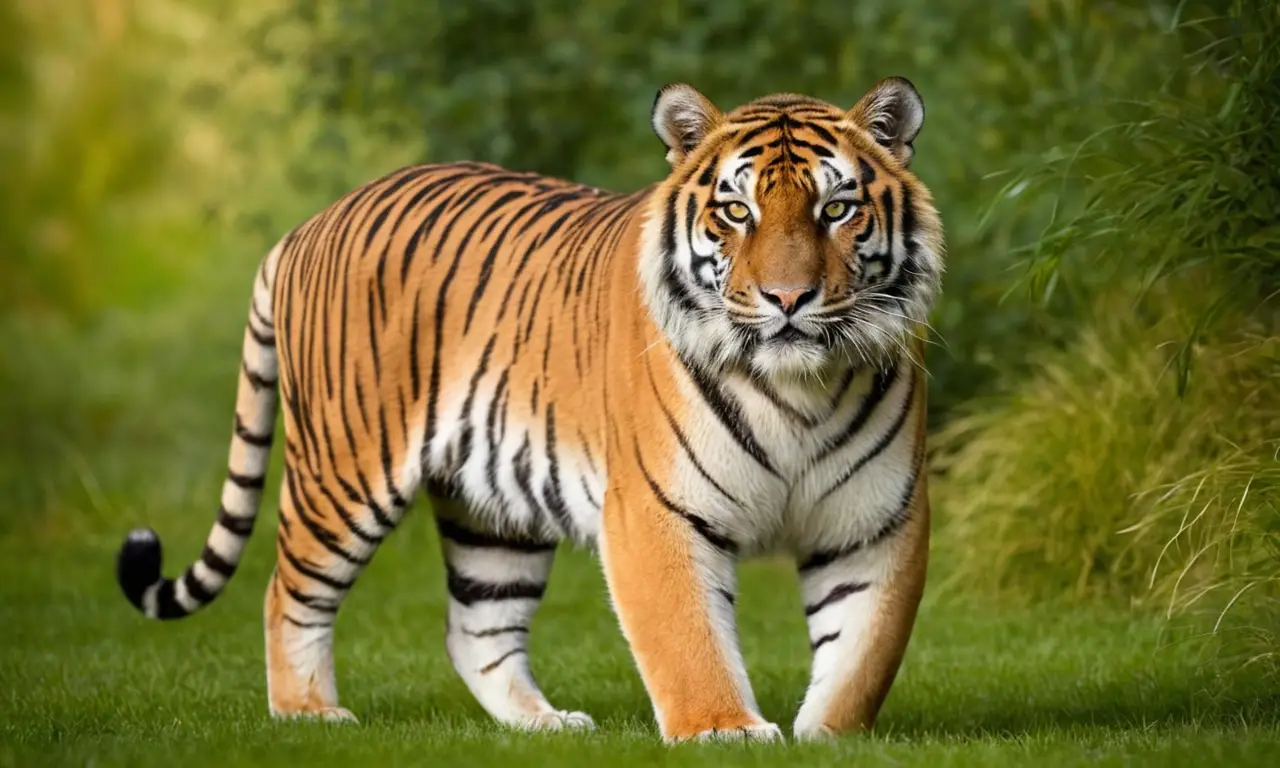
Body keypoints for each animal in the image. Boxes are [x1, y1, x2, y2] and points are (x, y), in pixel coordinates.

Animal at [115, 76, 944, 743]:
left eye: (837, 208)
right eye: (736, 212)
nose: (787, 299)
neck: (797, 389)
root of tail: (306, 228)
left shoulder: (875, 519)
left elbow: (863, 652)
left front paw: (827, 738)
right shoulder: (656, 511)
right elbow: (688, 638)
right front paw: (724, 731)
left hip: (494, 512)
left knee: (474, 628)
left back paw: (544, 724)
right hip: (343, 472)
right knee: (288, 593)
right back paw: (310, 714)